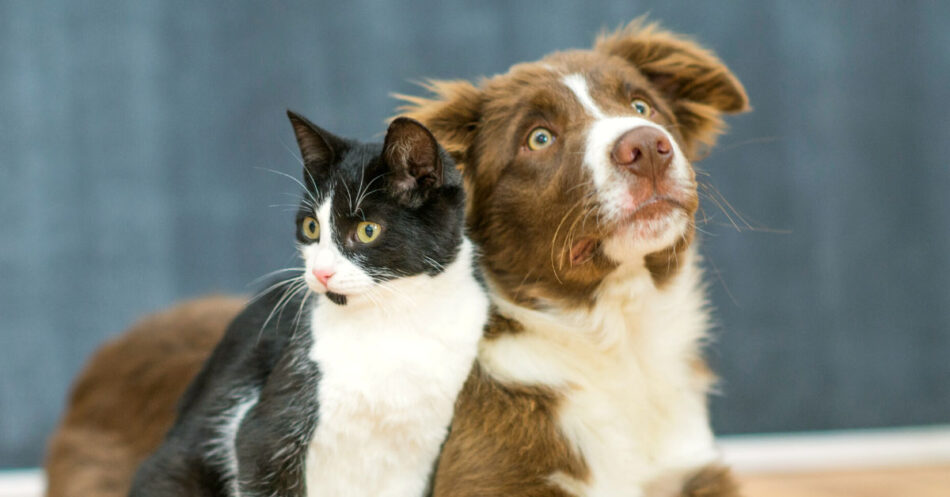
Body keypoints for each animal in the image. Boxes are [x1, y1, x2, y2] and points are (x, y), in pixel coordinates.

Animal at [132, 112, 490, 496]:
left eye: (368, 230)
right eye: (310, 226)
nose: (320, 272)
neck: (390, 320)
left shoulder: (423, 449)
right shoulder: (264, 434)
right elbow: (260, 451)